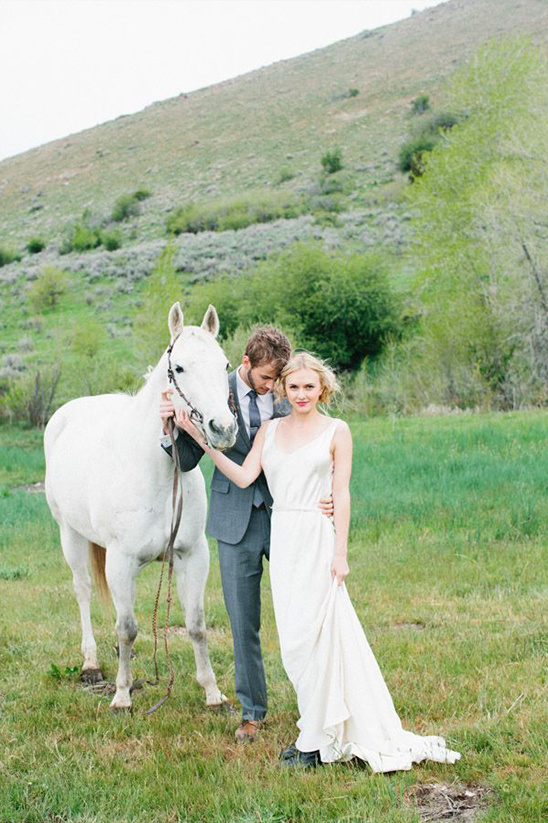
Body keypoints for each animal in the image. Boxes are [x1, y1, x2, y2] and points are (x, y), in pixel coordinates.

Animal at [44, 302, 237, 708]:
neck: (159, 472)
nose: (224, 429)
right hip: (70, 536)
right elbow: (128, 628)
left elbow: (196, 625)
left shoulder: (192, 555)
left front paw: (213, 693)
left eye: (225, 364)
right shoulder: (121, 561)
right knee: (83, 591)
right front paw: (121, 696)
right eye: (179, 368)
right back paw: (91, 664)